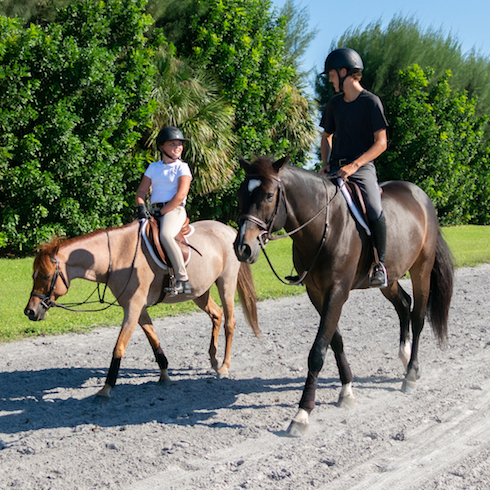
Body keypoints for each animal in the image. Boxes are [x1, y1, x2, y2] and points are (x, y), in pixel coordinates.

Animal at [23, 218, 260, 398]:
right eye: (32, 275)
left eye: (45, 276)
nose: (30, 311)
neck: (119, 255)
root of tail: (228, 230)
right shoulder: (139, 309)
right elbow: (153, 340)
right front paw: (164, 374)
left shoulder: (133, 308)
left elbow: (119, 346)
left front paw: (106, 387)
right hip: (199, 293)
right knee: (217, 315)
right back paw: (213, 358)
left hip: (226, 283)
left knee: (229, 321)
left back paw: (224, 366)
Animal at [235, 157, 454, 436]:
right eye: (242, 194)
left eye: (269, 195)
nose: (243, 247)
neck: (324, 225)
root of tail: (420, 195)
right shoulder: (317, 293)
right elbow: (335, 341)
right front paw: (347, 390)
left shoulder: (337, 292)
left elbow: (318, 351)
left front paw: (302, 413)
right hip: (389, 277)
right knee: (404, 304)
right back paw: (404, 357)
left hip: (421, 270)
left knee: (417, 318)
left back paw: (411, 373)